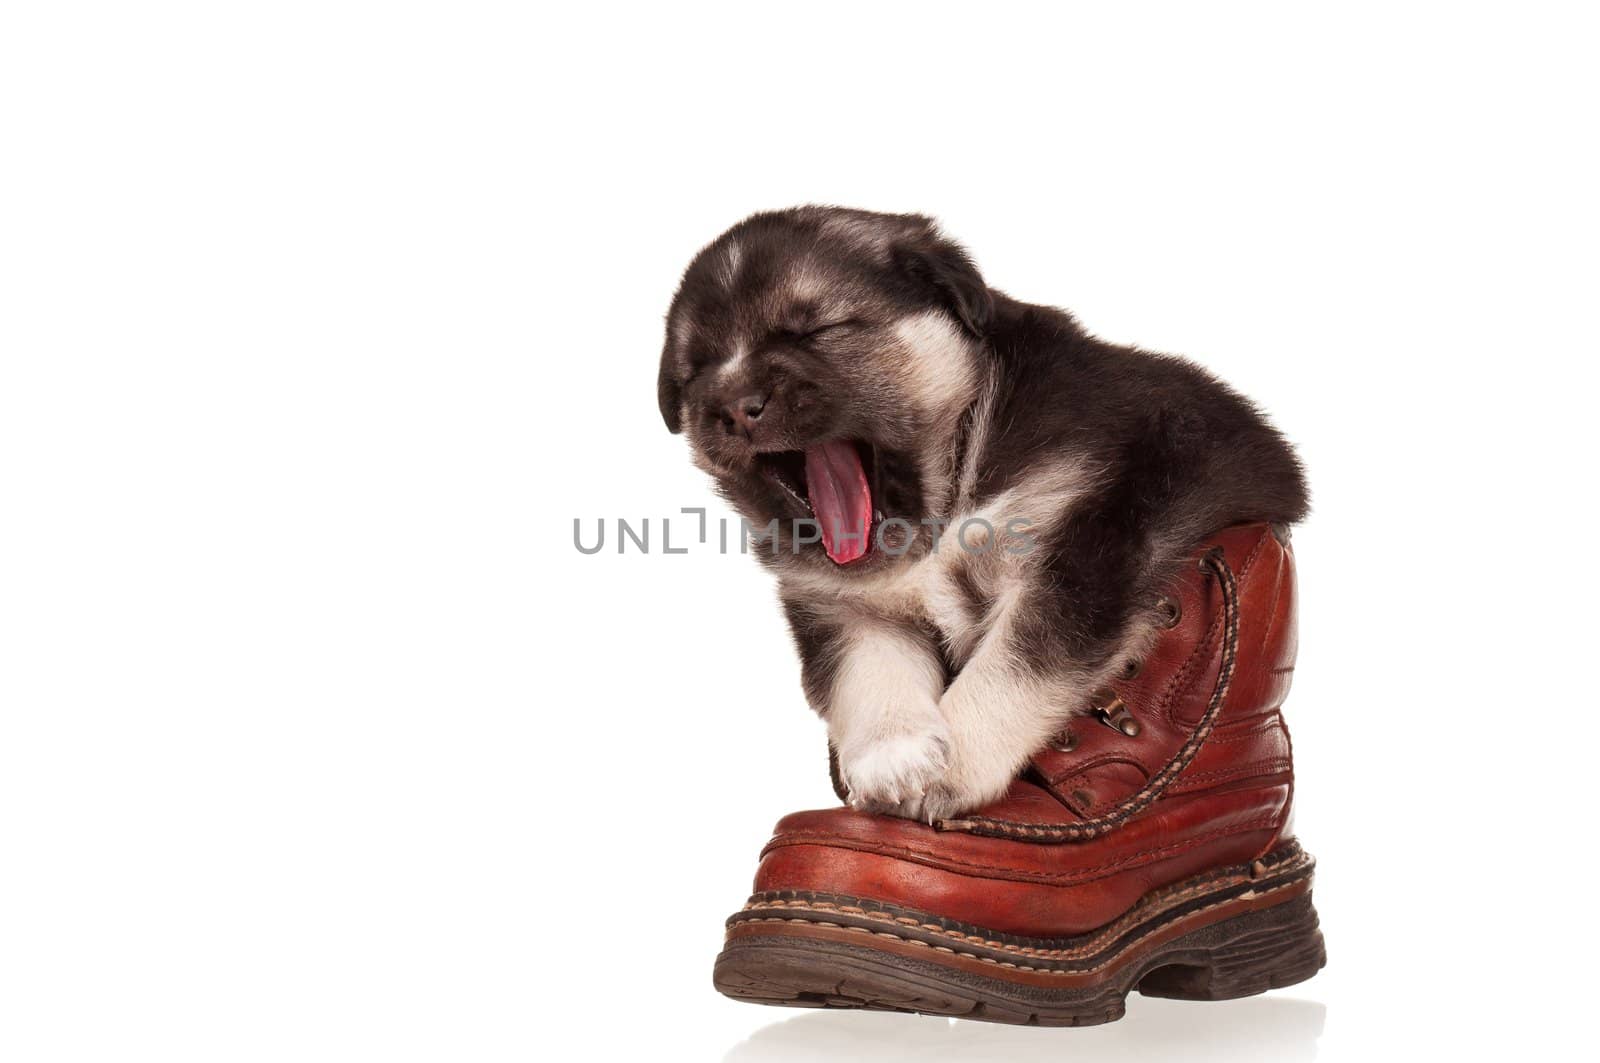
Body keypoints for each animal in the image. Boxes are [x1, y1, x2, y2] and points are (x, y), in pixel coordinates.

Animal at [656, 208, 1305, 819]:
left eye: (814, 330)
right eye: (697, 370)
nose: (735, 408)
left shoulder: (1083, 548)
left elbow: (1012, 667)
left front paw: (955, 767)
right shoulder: (843, 606)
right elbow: (868, 668)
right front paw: (896, 759)